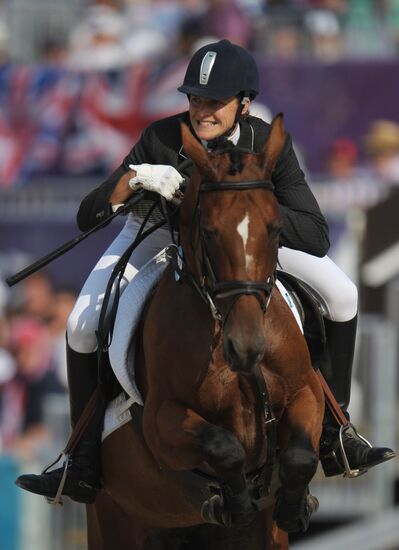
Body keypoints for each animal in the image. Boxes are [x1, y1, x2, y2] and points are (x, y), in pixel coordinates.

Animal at [87, 114, 324, 548]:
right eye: (210, 232)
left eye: (276, 229)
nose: (246, 348)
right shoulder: (161, 422)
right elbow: (223, 445)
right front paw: (234, 504)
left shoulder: (306, 393)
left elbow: (299, 456)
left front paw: (292, 507)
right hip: (113, 522)